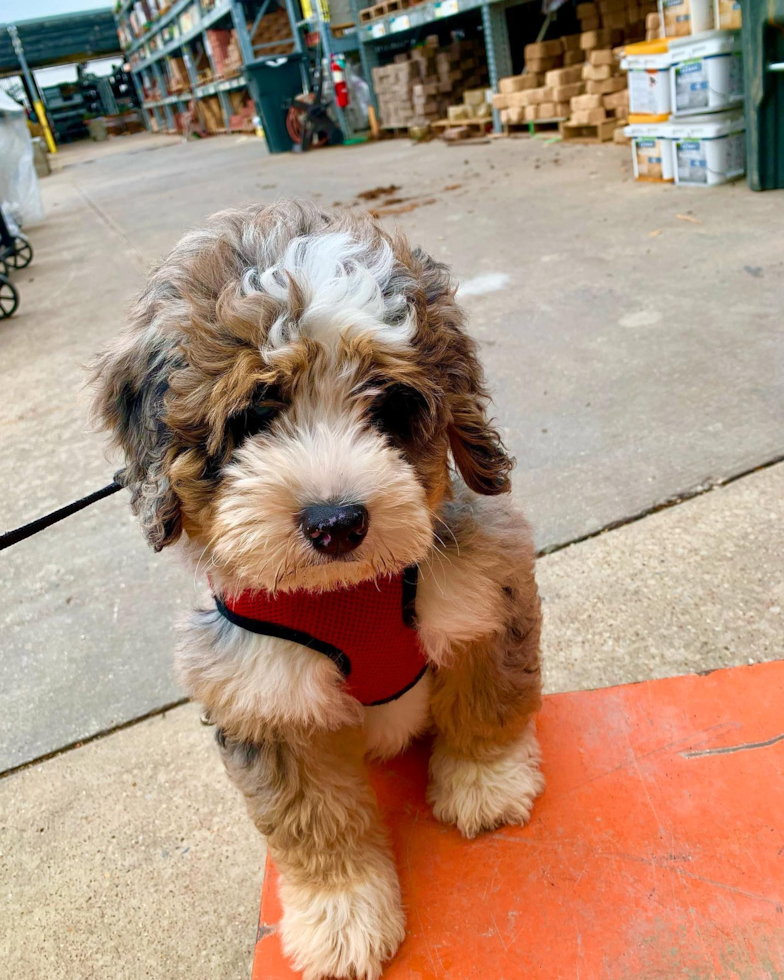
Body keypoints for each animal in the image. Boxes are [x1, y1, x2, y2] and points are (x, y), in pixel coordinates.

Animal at [93, 201, 544, 980]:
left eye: (389, 407)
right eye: (252, 416)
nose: (337, 523)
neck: (345, 592)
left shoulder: (492, 591)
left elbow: (486, 703)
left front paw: (485, 785)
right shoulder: (260, 700)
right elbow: (315, 824)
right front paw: (342, 917)